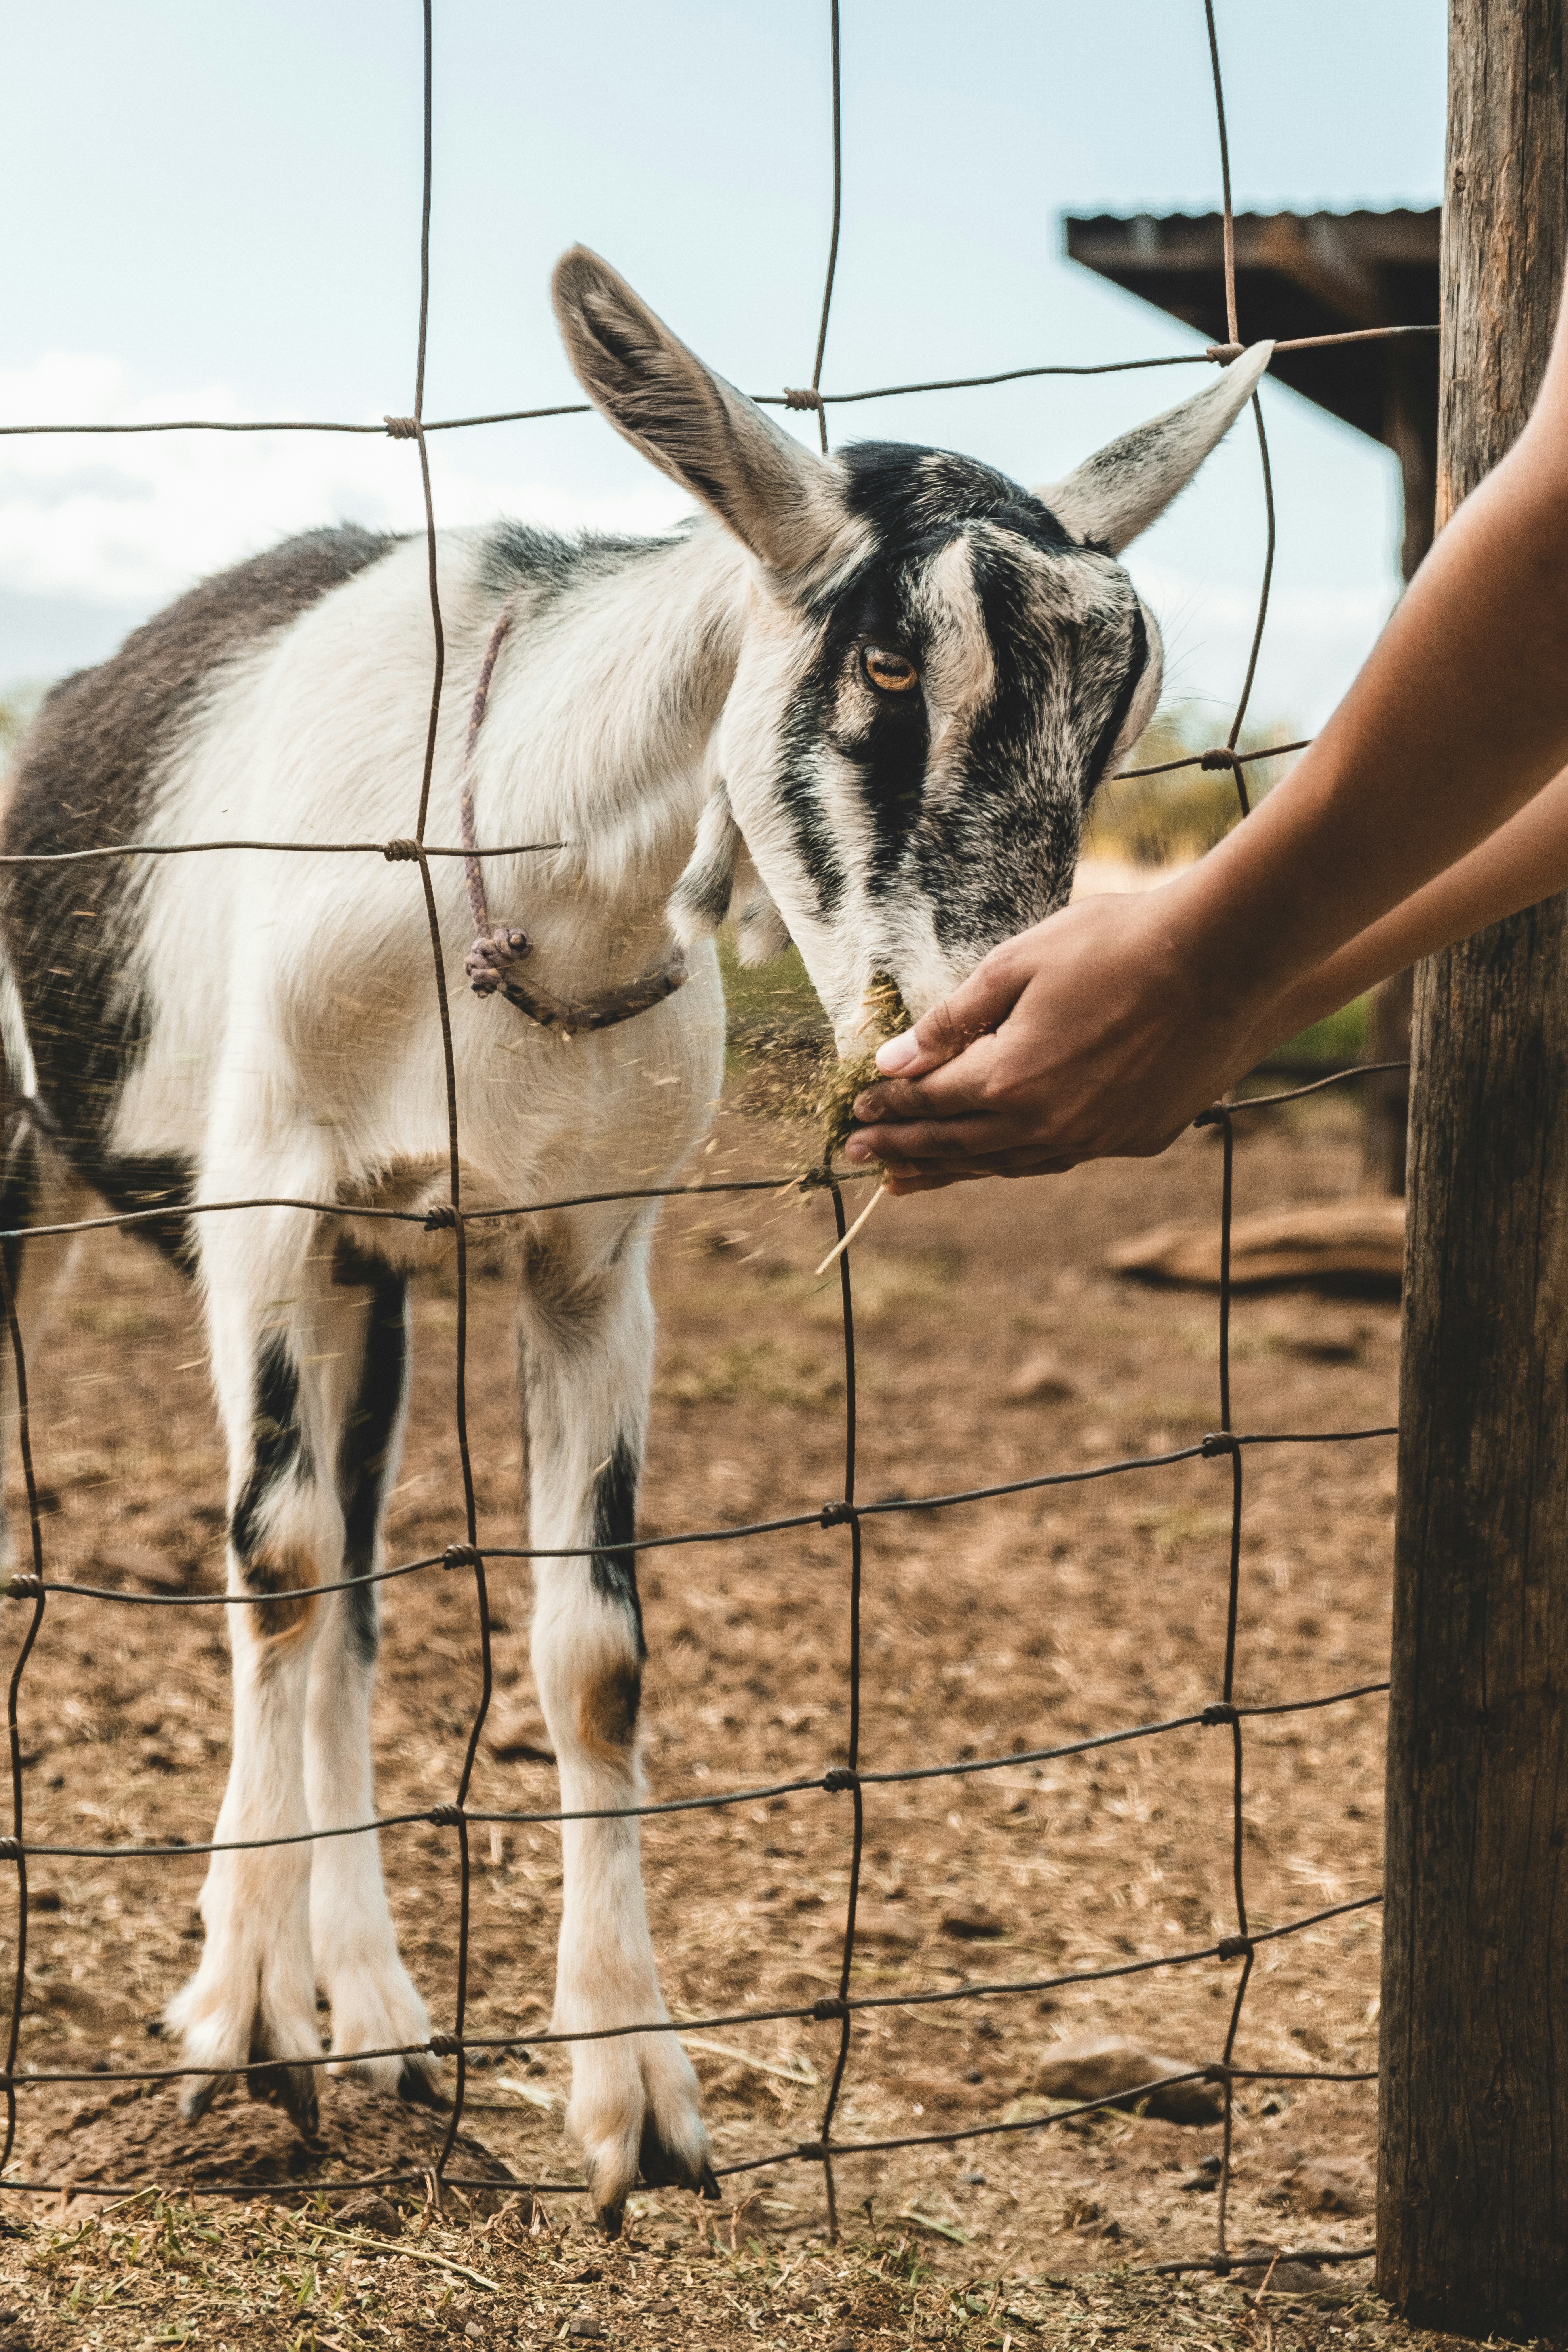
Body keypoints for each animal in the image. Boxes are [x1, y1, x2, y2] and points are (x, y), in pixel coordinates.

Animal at [0, 248, 1279, 2230]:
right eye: (889, 661)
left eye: (1115, 715)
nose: (984, 1023)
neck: (515, 897)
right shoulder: (269, 1203)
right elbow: (269, 1567)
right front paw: (236, 2033)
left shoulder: (592, 1261)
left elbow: (583, 1653)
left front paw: (635, 2104)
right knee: (287, 1570)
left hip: (380, 1278)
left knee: (354, 1596)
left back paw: (379, 2011)